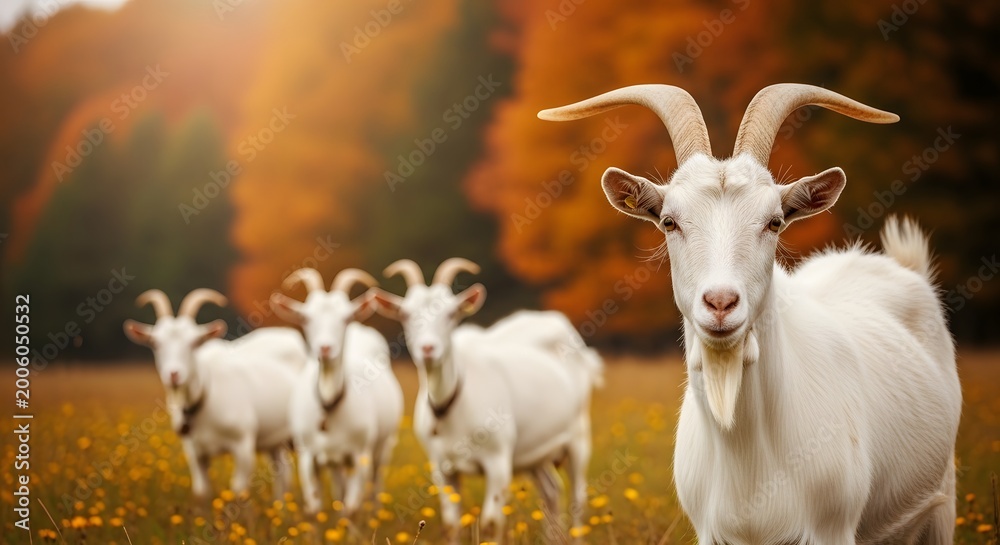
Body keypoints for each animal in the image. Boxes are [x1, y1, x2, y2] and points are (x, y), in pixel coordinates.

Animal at [123, 289, 308, 500]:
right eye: (155, 343)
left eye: (195, 342)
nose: (174, 374)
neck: (205, 393)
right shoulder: (195, 452)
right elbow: (202, 490)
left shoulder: (243, 445)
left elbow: (238, 489)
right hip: (274, 438)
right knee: (282, 471)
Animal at [270, 268, 403, 516]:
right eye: (306, 318)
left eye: (346, 318)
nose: (325, 348)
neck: (329, 399)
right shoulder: (307, 457)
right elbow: (315, 507)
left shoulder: (359, 456)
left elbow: (351, 508)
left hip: (382, 445)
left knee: (376, 481)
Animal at [371, 258, 602, 543]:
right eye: (405, 315)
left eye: (451, 314)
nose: (428, 349)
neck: (453, 402)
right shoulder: (442, 467)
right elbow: (452, 523)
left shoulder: (498, 460)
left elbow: (492, 522)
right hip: (534, 452)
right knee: (551, 490)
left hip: (578, 435)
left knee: (578, 498)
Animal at [538, 83, 962, 544]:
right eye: (669, 222)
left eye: (774, 221)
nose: (721, 303)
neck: (746, 457)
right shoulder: (712, 531)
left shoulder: (834, 527)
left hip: (941, 503)